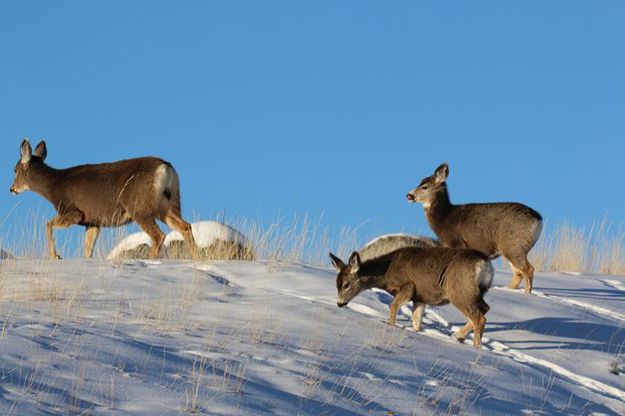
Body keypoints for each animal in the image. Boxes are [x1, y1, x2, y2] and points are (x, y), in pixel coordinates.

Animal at [11, 140, 199, 260]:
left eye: (15, 169)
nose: (11, 189)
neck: (54, 187)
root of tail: (166, 168)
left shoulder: (73, 212)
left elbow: (48, 225)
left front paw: (56, 256)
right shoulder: (93, 222)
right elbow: (88, 249)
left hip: (138, 207)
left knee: (159, 235)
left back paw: (151, 261)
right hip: (169, 203)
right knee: (185, 226)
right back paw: (196, 259)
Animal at [330, 247, 494, 348]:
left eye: (346, 285)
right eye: (336, 284)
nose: (339, 303)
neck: (386, 274)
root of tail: (484, 263)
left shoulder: (408, 286)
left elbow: (393, 305)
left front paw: (390, 325)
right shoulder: (420, 298)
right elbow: (416, 321)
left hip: (458, 291)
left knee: (479, 317)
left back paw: (476, 346)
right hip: (477, 291)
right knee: (485, 309)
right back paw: (459, 336)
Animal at [408, 164, 540, 294]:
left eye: (424, 187)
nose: (408, 195)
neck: (444, 217)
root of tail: (538, 219)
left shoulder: (456, 242)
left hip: (513, 244)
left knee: (528, 269)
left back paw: (527, 294)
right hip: (509, 247)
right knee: (518, 273)